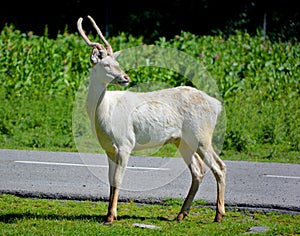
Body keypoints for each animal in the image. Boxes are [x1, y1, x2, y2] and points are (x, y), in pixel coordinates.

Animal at [76, 15, 226, 224]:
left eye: (118, 64)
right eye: (106, 64)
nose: (126, 77)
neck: (104, 113)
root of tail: (216, 104)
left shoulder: (125, 143)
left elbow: (118, 180)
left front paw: (111, 217)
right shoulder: (109, 149)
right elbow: (110, 180)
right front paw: (108, 214)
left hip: (202, 135)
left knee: (219, 166)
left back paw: (219, 215)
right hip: (183, 140)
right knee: (198, 170)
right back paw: (181, 214)